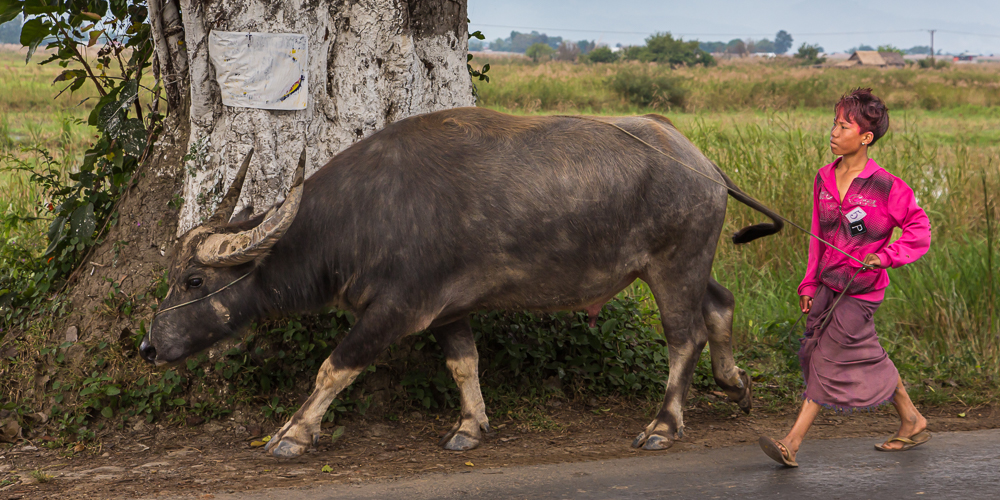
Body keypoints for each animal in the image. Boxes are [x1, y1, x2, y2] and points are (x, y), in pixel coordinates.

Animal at [141, 108, 780, 458]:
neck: (357, 220)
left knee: (683, 336)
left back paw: (663, 425)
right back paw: (736, 385)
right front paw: (470, 428)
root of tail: (703, 165)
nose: (148, 346)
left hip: (673, 264)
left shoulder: (397, 310)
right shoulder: (449, 310)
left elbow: (334, 366)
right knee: (720, 305)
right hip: (692, 262)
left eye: (194, 279)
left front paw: (292, 434)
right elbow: (463, 364)